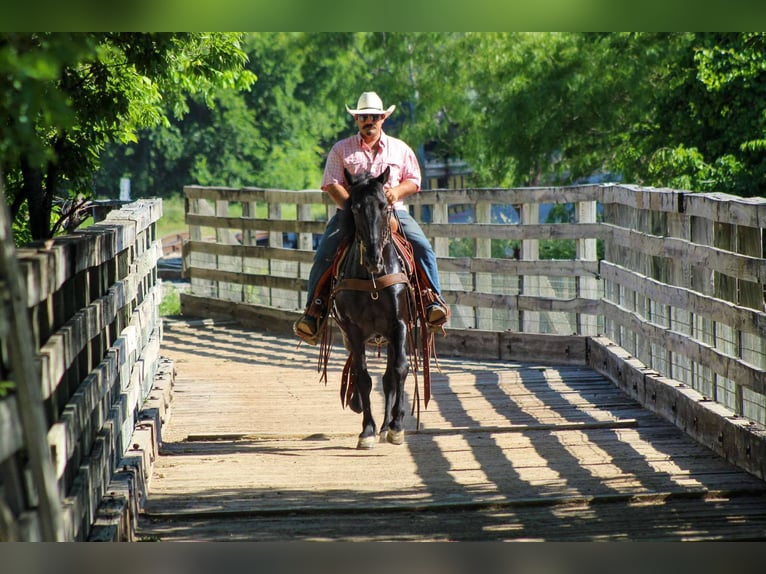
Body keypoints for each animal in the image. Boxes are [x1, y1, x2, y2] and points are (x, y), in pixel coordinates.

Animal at [330, 166, 416, 449]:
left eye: (384, 206)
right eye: (355, 208)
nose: (373, 258)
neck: (373, 279)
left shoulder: (399, 325)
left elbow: (399, 370)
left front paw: (397, 426)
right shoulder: (354, 331)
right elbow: (363, 377)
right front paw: (367, 430)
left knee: (391, 376)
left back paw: (389, 425)